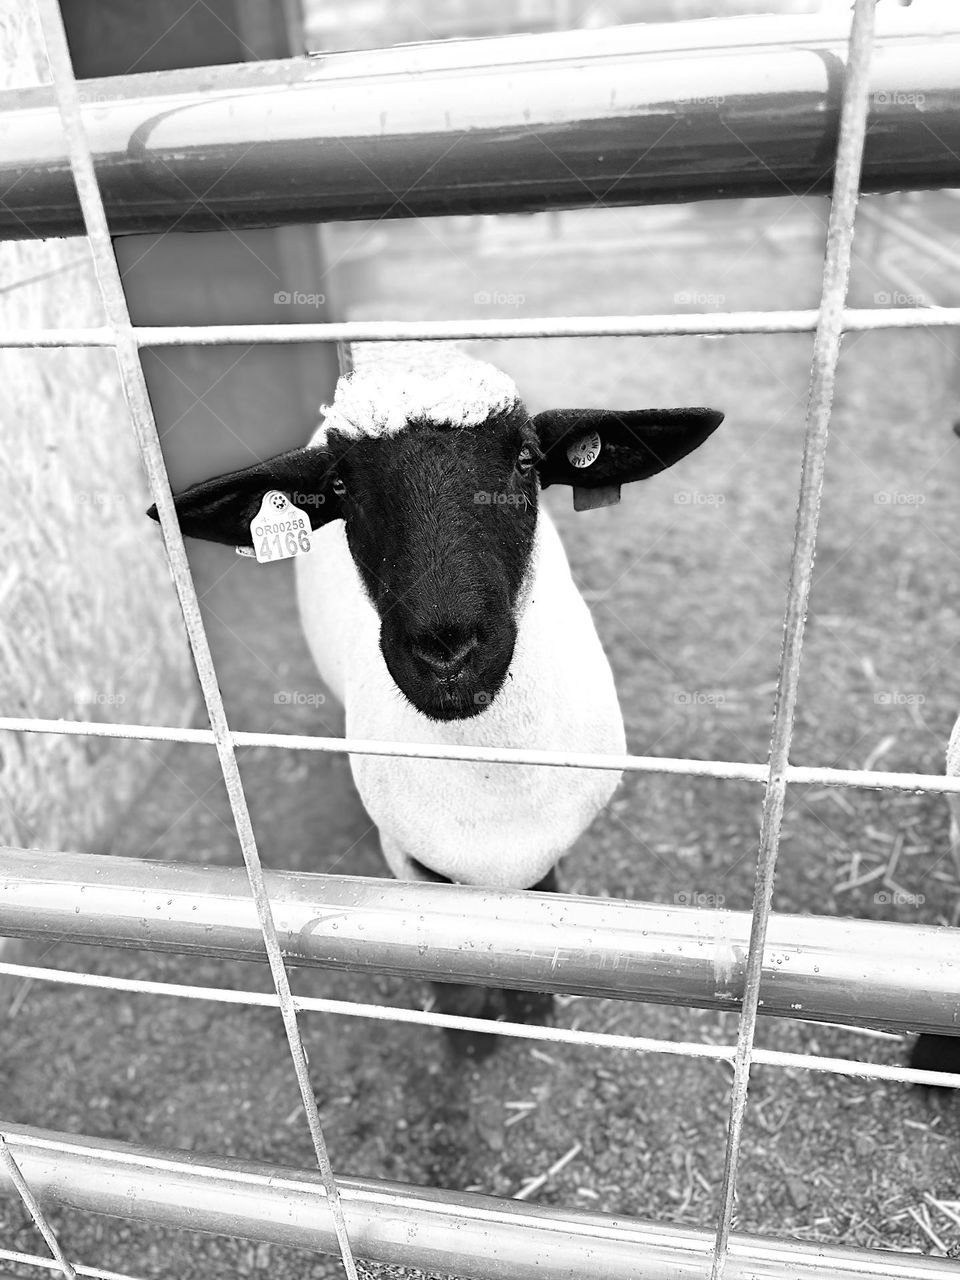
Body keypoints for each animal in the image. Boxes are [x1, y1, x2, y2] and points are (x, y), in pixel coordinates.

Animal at [152, 351, 723, 1055]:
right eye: (339, 488)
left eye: (527, 460)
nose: (446, 652)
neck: (492, 778)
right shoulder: (408, 855)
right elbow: (432, 942)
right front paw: (468, 1030)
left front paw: (530, 1008)